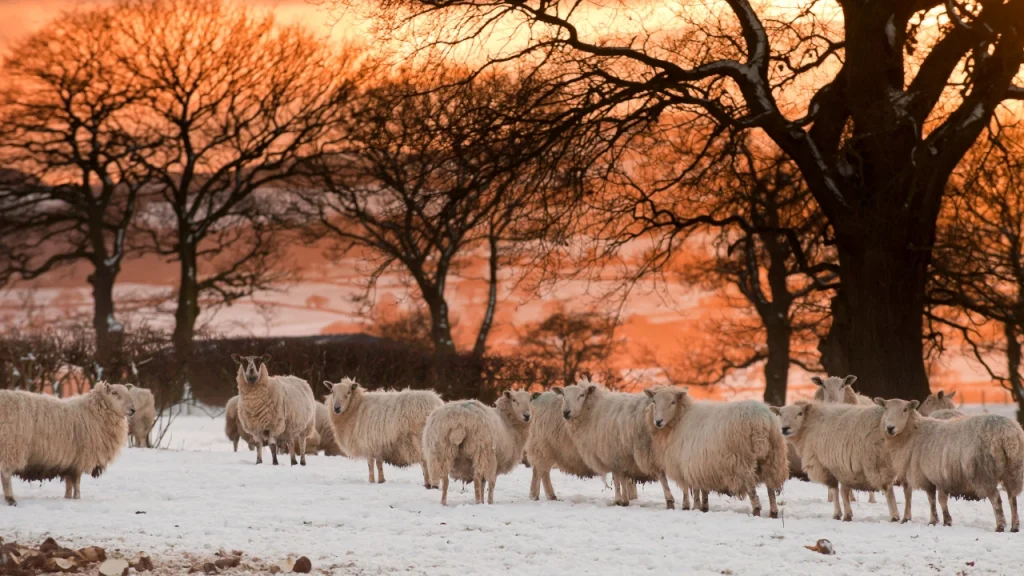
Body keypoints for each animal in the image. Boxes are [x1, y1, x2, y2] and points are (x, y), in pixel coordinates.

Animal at [0, 381, 135, 502]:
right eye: (114, 392)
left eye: (128, 392)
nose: (133, 409)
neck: (94, 412)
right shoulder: (80, 457)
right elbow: (76, 481)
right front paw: (77, 498)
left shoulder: (70, 461)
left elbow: (69, 482)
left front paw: (68, 497)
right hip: (11, 446)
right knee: (6, 474)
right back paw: (10, 499)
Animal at [552, 377, 671, 506]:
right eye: (563, 395)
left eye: (582, 395)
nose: (566, 412)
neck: (593, 411)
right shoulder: (620, 455)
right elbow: (622, 477)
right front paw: (624, 499)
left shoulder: (612, 454)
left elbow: (617, 479)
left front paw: (619, 500)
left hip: (651, 448)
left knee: (662, 475)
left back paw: (670, 500)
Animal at [643, 385, 786, 516]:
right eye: (654, 401)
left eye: (673, 402)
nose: (658, 421)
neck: (680, 419)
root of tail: (762, 421)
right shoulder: (701, 466)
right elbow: (703, 489)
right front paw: (704, 507)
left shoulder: (687, 464)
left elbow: (691, 489)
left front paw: (692, 507)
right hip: (773, 458)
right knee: (771, 488)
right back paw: (774, 512)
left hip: (743, 460)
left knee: (751, 487)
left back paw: (756, 510)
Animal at [770, 397, 901, 522]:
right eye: (780, 414)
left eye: (800, 413)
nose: (785, 428)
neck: (809, 426)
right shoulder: (843, 468)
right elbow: (843, 491)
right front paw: (847, 513)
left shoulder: (824, 466)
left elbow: (834, 490)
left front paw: (838, 514)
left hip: (876, 461)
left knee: (888, 489)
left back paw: (895, 516)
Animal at [880, 397, 1024, 532]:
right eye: (886, 408)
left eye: (905, 410)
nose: (890, 428)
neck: (914, 433)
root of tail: (1007, 434)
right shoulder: (935, 476)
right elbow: (936, 500)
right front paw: (940, 521)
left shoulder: (932, 476)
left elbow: (937, 500)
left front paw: (940, 521)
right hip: (1013, 470)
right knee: (1013, 499)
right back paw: (1014, 527)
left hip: (983, 472)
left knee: (996, 499)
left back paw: (1000, 526)